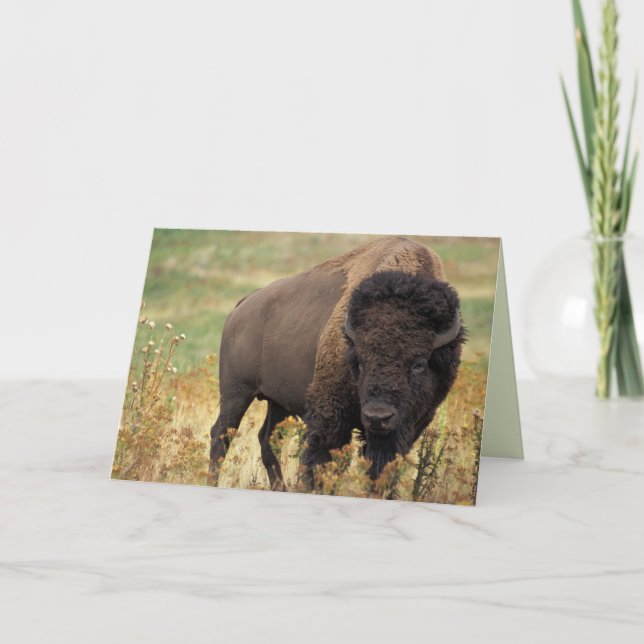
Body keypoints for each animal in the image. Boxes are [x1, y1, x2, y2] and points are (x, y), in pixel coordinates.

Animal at [210, 236, 465, 490]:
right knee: (221, 435)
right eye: (359, 361)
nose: (378, 417)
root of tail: (241, 306)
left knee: (267, 439)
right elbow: (321, 463)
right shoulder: (330, 418)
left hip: (277, 402)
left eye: (419, 364)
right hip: (236, 392)